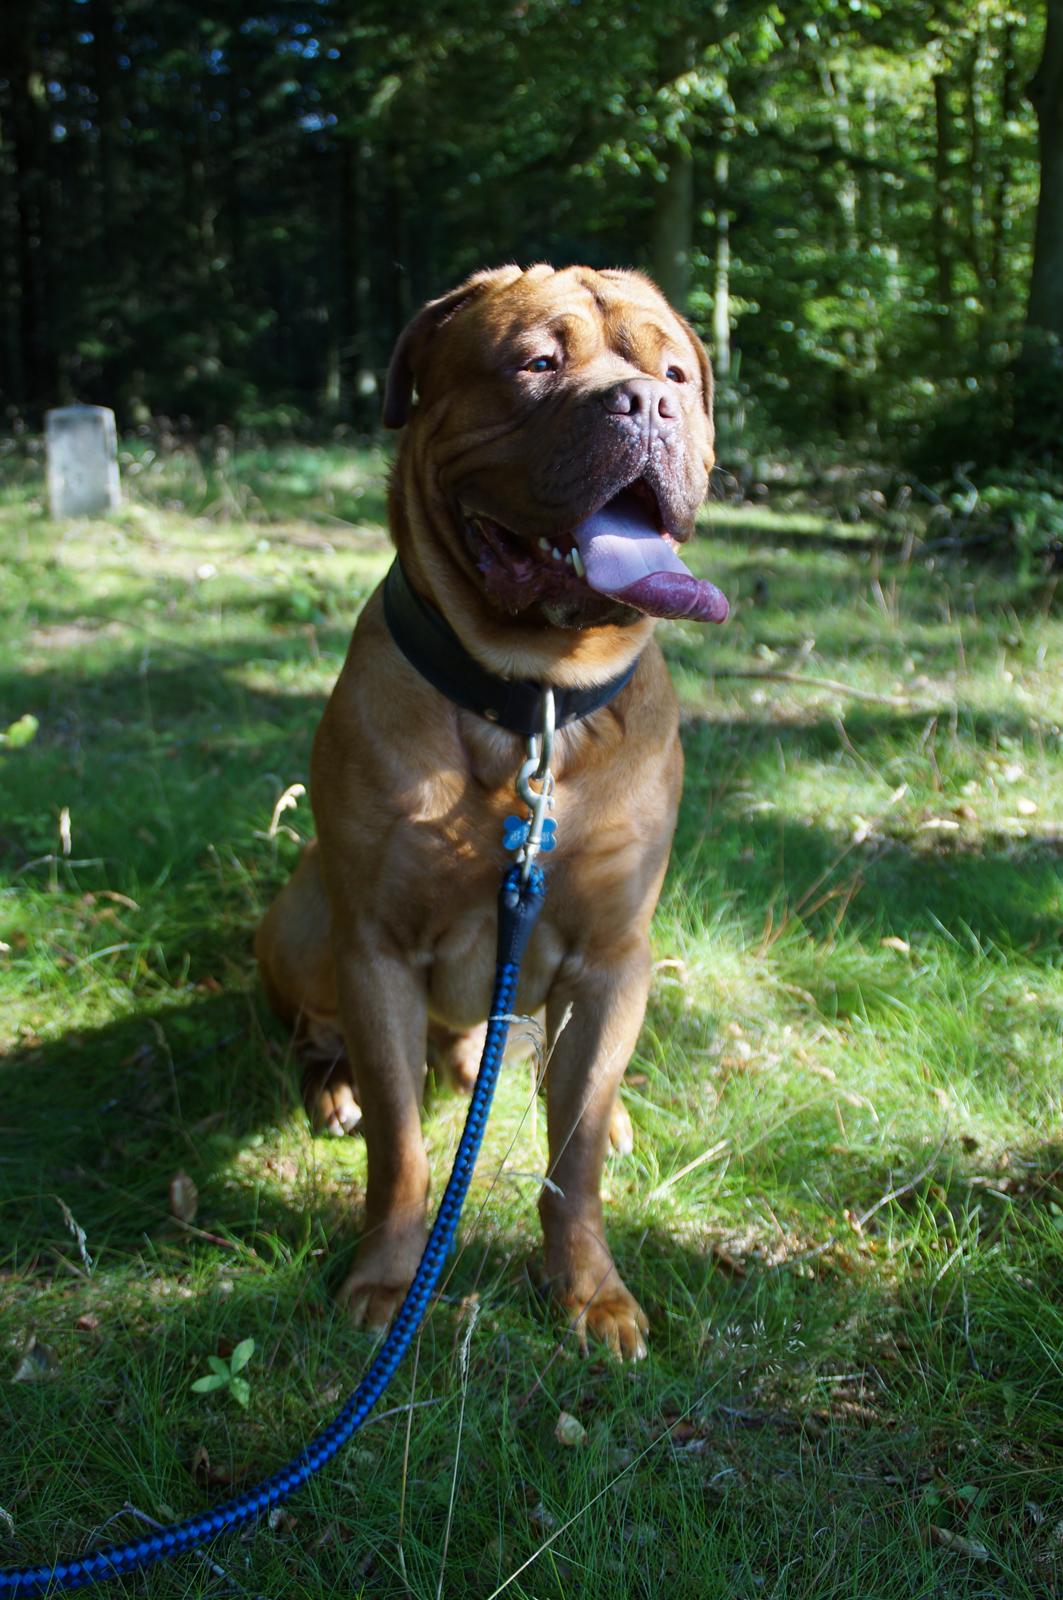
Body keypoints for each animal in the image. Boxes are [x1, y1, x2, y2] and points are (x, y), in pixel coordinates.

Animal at [252, 265, 726, 1363]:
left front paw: (587, 1289)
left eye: (673, 373)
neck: (532, 700)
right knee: (318, 1033)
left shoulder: (611, 956)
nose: (644, 405)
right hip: (305, 919)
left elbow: (574, 1150)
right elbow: (402, 1147)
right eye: (537, 364)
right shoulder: (377, 946)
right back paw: (333, 1086)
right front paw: (389, 1282)